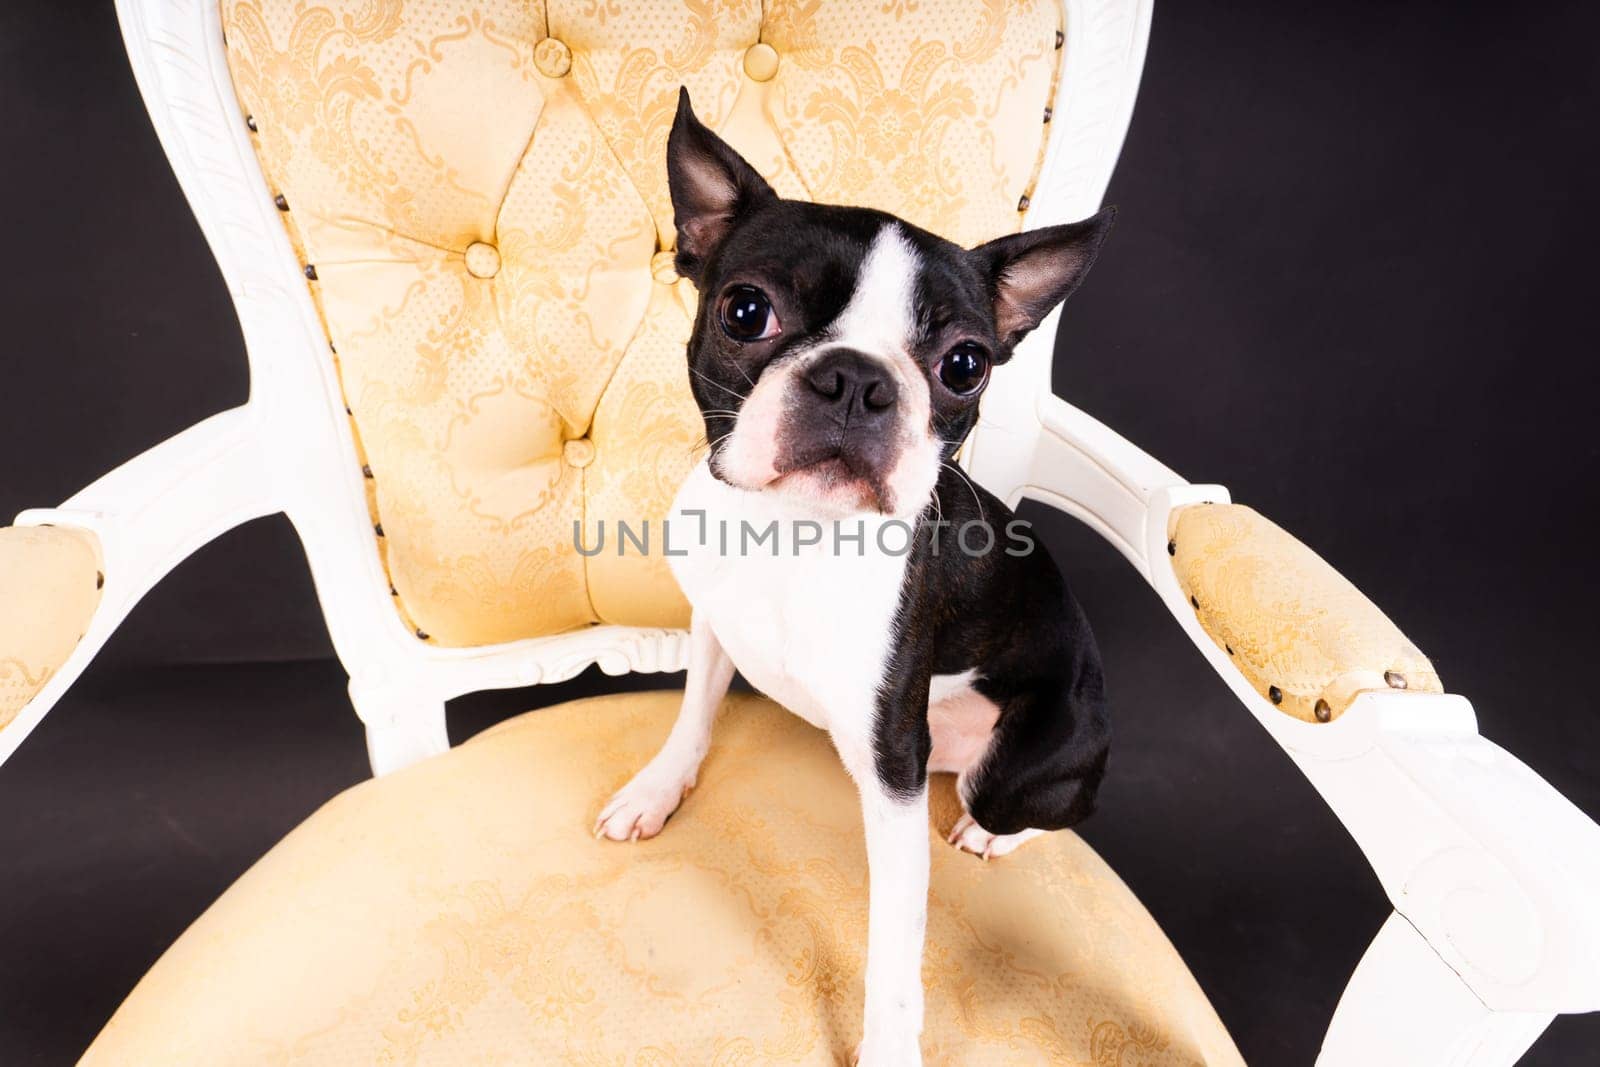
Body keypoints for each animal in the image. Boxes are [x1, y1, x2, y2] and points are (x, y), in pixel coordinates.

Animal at [595, 89, 1107, 1062]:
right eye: (745, 312)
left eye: (964, 364)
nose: (857, 381)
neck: (793, 535)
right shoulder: (713, 625)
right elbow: (692, 717)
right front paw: (656, 789)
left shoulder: (895, 777)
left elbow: (895, 952)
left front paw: (889, 1046)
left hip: (1023, 760)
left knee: (1044, 807)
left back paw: (991, 829)